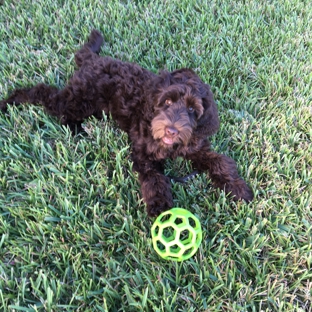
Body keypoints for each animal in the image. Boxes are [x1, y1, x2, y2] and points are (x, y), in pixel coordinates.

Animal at [0, 29, 254, 217]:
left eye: (192, 109)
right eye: (167, 101)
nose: (172, 130)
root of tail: (93, 60)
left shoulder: (197, 146)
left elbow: (220, 161)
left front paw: (238, 188)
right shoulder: (144, 155)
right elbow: (154, 180)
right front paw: (160, 209)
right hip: (81, 98)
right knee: (48, 97)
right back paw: (14, 103)